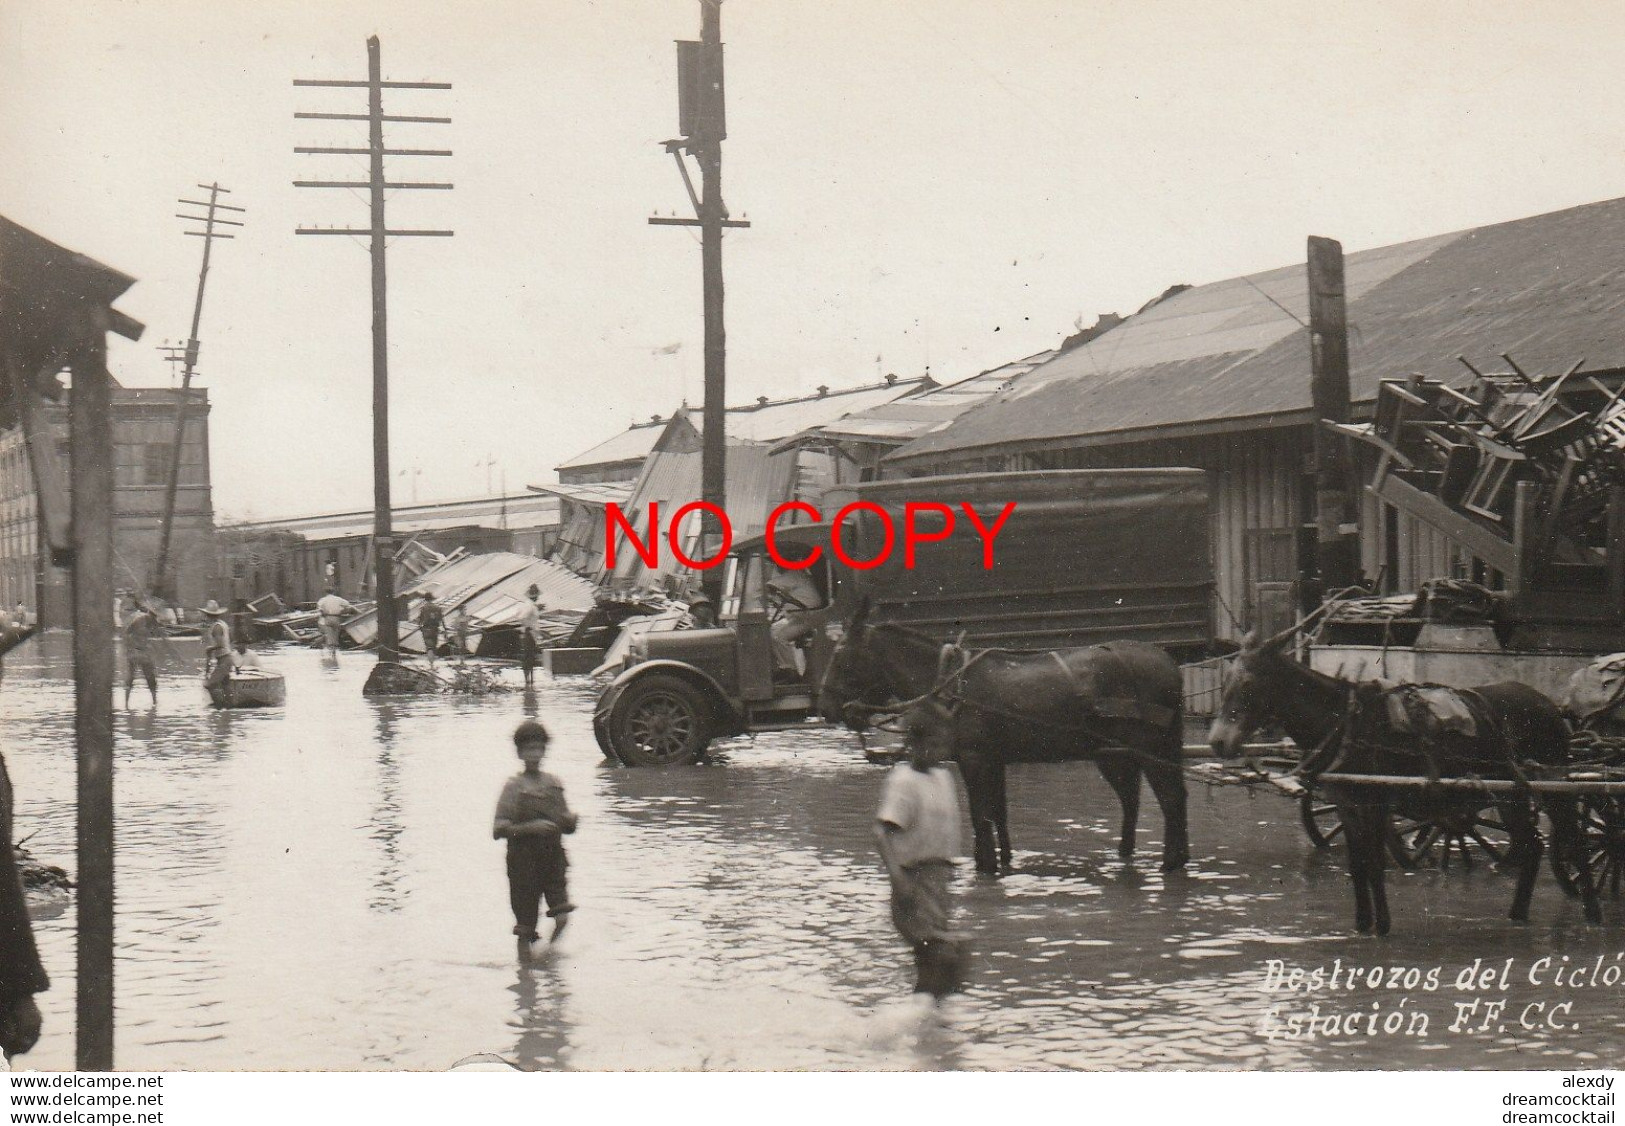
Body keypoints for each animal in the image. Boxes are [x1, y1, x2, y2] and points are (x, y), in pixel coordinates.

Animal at [825, 601, 1183, 870]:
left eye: (840, 655)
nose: (828, 707)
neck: (948, 687)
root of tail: (1169, 663)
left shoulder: (974, 758)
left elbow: (981, 818)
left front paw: (986, 866)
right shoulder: (994, 759)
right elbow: (999, 814)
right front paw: (1005, 861)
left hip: (1150, 749)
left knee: (1171, 800)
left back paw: (1171, 863)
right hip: (1116, 755)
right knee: (1134, 802)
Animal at [1209, 633, 1599, 929]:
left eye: (1248, 684)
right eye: (1223, 682)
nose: (1218, 742)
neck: (1345, 723)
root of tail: (1548, 705)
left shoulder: (1378, 802)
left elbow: (1375, 864)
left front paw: (1381, 927)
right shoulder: (1348, 804)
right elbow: (1357, 865)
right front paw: (1362, 926)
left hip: (1553, 786)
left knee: (1576, 842)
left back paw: (1592, 914)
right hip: (1510, 793)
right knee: (1532, 846)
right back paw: (1518, 916)